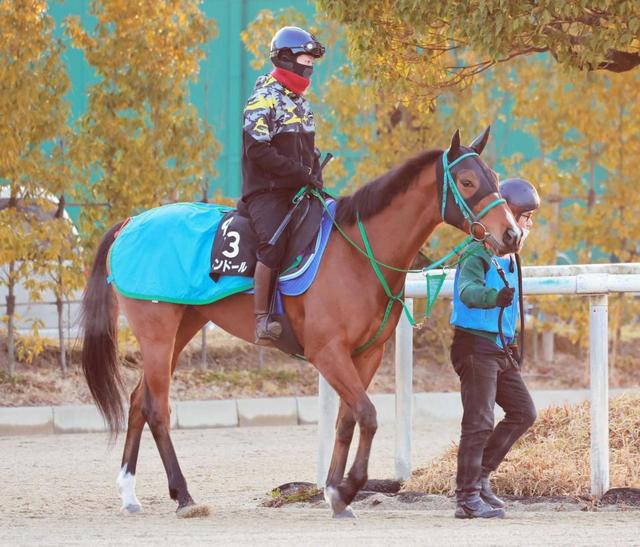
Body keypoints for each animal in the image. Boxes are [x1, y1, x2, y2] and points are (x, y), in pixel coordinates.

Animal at [80, 127, 520, 520]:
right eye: (466, 181)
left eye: (495, 178)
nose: (511, 234)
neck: (358, 254)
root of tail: (130, 222)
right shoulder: (327, 352)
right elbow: (367, 414)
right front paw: (347, 487)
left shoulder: (367, 354)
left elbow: (348, 420)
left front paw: (335, 492)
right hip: (157, 331)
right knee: (157, 408)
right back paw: (184, 496)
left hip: (182, 328)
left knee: (138, 400)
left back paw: (129, 493)